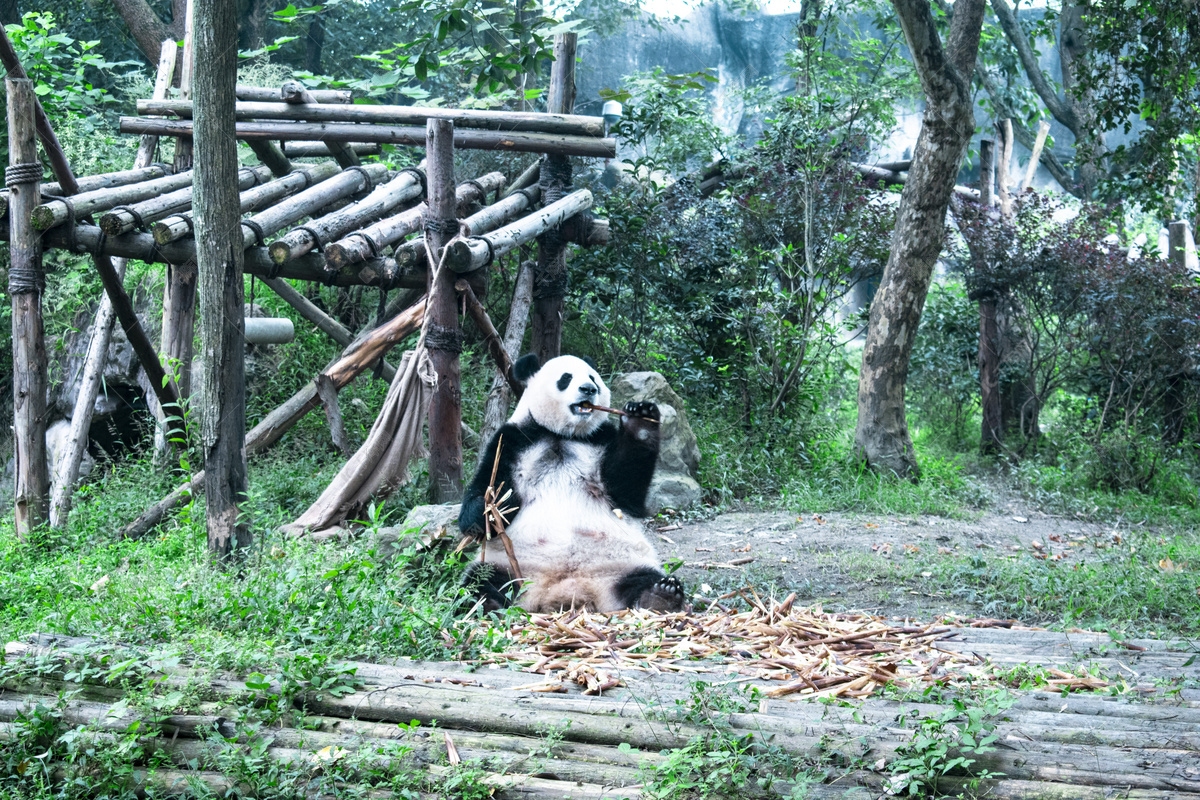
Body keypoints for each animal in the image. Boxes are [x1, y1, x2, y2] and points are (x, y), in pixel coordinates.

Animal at [458, 355, 686, 614]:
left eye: (592, 378)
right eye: (566, 378)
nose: (589, 389)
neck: (564, 435)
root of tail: (566, 590)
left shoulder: (600, 439)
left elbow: (626, 491)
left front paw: (641, 421)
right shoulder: (512, 441)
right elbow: (490, 491)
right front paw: (486, 510)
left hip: (625, 561)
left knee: (643, 577)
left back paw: (660, 595)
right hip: (510, 565)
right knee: (481, 579)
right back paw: (484, 602)